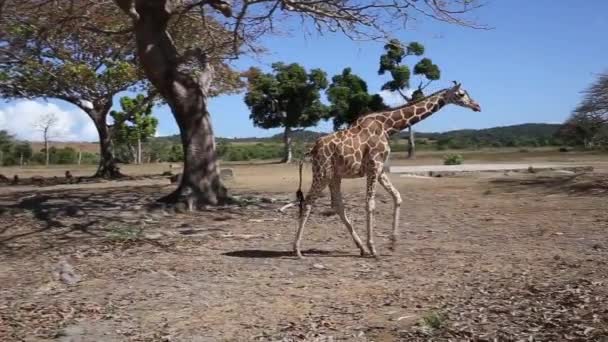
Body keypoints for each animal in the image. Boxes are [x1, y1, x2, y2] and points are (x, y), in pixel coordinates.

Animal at [294, 81, 480, 258]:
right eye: (461, 94)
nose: (477, 106)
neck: (388, 126)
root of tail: (312, 149)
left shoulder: (381, 169)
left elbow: (397, 197)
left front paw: (393, 243)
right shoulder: (374, 166)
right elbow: (370, 204)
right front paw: (374, 248)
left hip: (334, 176)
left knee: (337, 205)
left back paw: (361, 248)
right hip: (322, 173)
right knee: (308, 201)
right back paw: (297, 250)